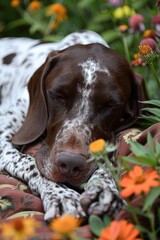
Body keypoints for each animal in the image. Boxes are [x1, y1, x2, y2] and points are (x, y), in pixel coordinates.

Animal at [0, 31, 145, 221]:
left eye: (110, 105)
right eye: (58, 95)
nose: (70, 164)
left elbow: (105, 160)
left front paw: (104, 190)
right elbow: (31, 162)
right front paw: (61, 195)